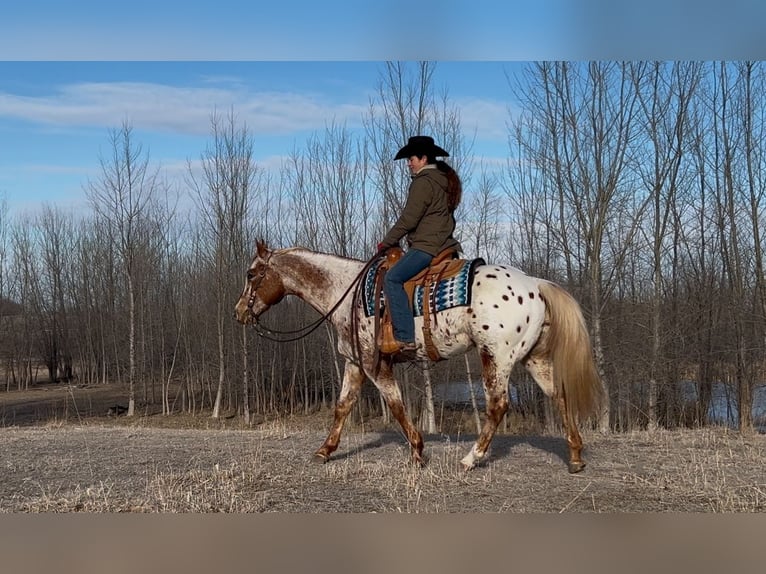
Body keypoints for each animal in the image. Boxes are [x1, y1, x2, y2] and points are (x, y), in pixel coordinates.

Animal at [234, 241, 608, 474]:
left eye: (252, 274)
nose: (239, 313)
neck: (347, 293)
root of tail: (536, 284)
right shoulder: (355, 363)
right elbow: (342, 407)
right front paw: (325, 451)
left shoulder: (374, 365)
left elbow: (397, 406)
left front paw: (417, 451)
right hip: (534, 358)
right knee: (560, 396)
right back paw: (575, 456)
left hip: (496, 357)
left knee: (498, 406)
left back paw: (470, 459)